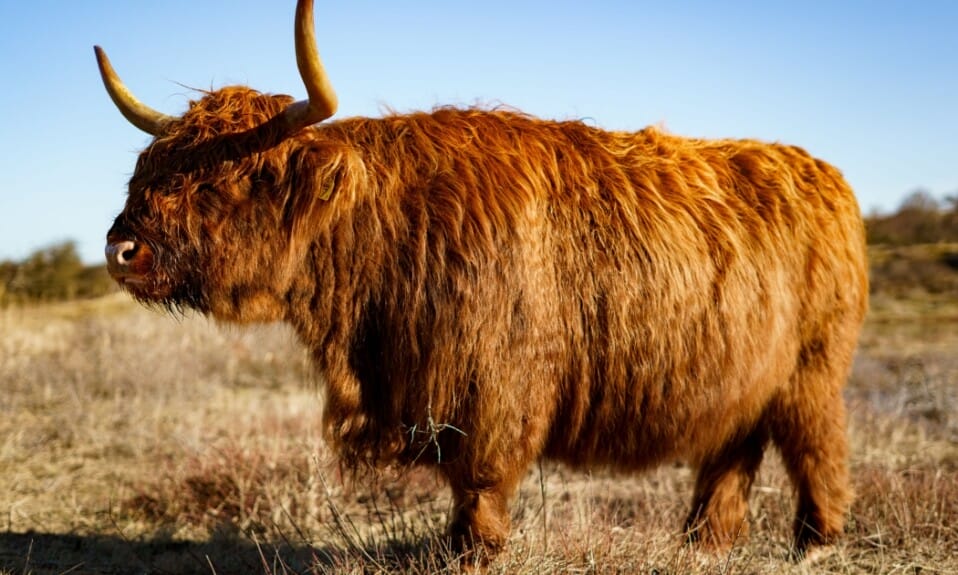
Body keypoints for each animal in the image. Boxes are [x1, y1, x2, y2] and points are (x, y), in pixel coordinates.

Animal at [95, 0, 872, 560]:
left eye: (221, 177)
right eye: (146, 168)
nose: (121, 247)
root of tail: (820, 169)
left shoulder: (495, 383)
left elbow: (480, 478)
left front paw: (474, 550)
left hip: (812, 370)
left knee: (818, 446)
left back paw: (816, 540)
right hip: (743, 379)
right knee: (732, 453)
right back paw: (706, 540)